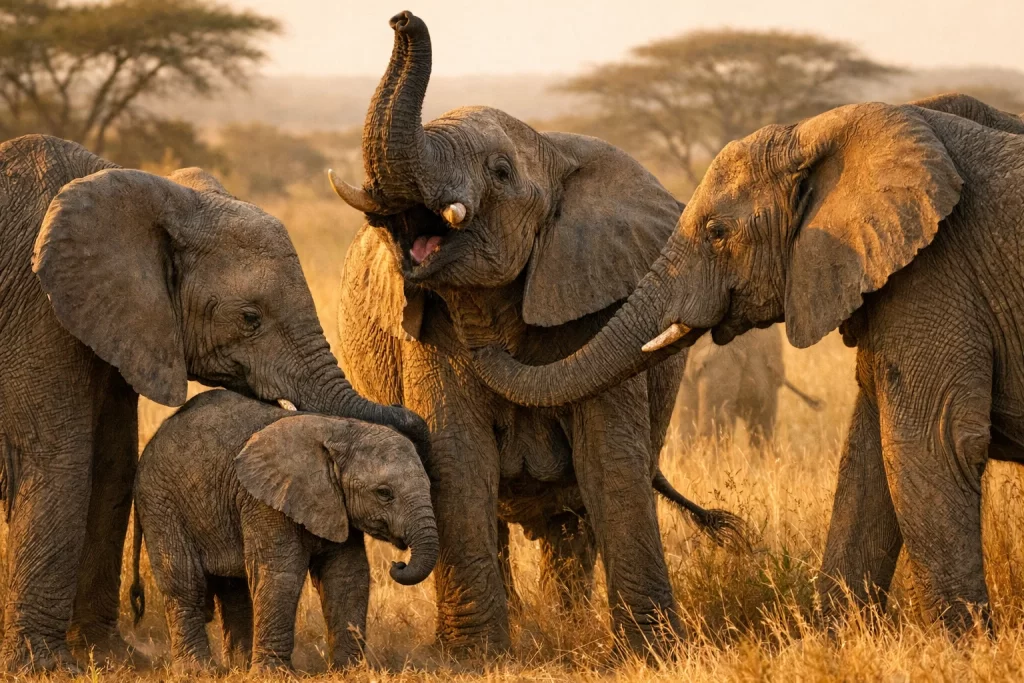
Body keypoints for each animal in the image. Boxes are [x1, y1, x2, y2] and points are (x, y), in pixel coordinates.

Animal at [130, 389, 436, 672]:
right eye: (384, 493)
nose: (397, 564)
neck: (338, 429)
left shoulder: (336, 507)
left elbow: (347, 575)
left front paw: (349, 671)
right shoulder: (263, 500)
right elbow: (279, 573)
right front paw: (272, 673)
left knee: (233, 590)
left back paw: (239, 668)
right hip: (159, 501)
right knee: (183, 581)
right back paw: (199, 670)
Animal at [328, 11, 743, 655]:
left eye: (500, 173)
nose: (402, 18)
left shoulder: (593, 298)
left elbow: (609, 460)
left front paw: (650, 653)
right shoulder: (427, 339)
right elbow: (457, 460)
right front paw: (475, 658)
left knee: (572, 521)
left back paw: (565, 621)